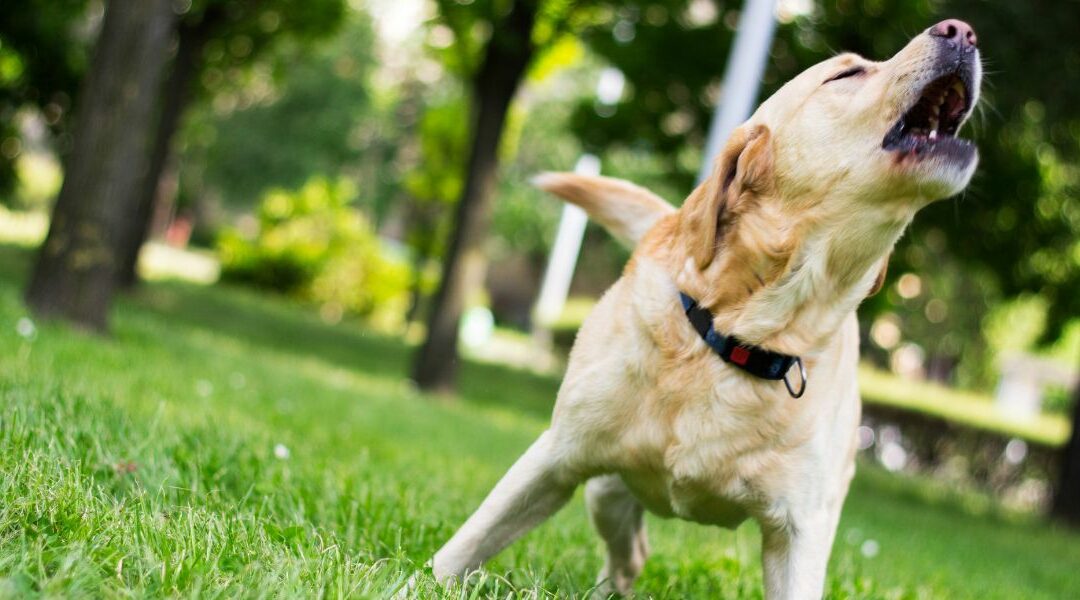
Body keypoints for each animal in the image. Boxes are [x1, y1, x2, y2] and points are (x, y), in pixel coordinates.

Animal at [427, 19, 980, 600]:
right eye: (847, 73)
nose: (962, 31)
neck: (742, 338)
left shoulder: (801, 530)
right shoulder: (556, 455)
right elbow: (463, 546)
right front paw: (425, 579)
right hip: (604, 490)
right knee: (626, 548)